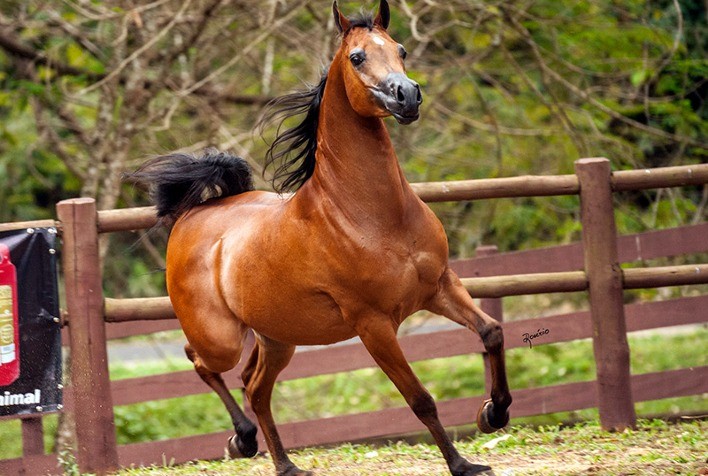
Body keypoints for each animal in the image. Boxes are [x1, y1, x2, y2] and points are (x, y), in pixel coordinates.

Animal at [129, 2, 511, 475]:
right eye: (357, 57)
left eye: (401, 49)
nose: (408, 96)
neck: (374, 216)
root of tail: (192, 214)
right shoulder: (373, 324)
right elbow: (420, 399)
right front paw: (462, 464)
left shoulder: (440, 286)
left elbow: (492, 332)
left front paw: (493, 413)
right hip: (221, 339)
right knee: (200, 361)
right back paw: (242, 440)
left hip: (278, 338)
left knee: (254, 386)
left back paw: (286, 464)